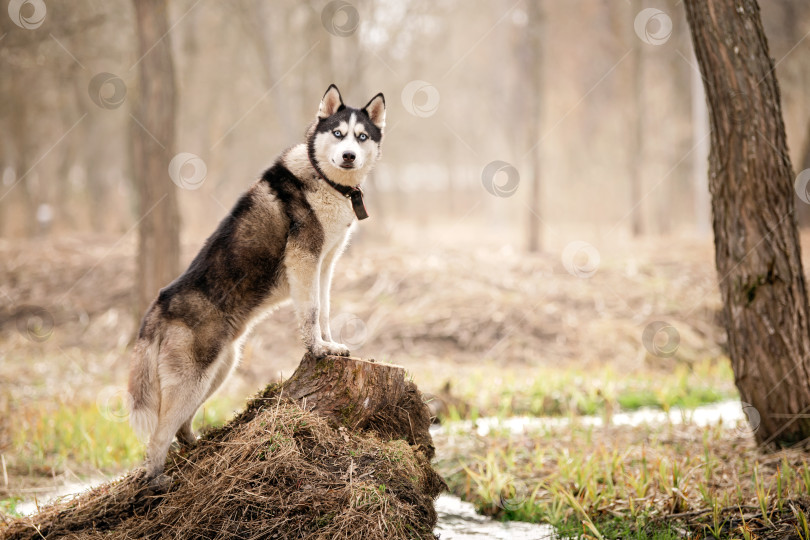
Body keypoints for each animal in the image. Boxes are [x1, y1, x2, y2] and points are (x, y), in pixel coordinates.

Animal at [127, 85, 386, 490]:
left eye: (361, 137)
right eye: (338, 133)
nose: (348, 156)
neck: (323, 180)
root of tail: (157, 307)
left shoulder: (326, 263)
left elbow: (325, 310)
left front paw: (332, 344)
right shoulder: (304, 259)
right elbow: (311, 312)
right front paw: (318, 349)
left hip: (218, 371)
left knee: (180, 427)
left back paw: (197, 445)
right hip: (192, 381)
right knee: (157, 438)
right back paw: (157, 482)